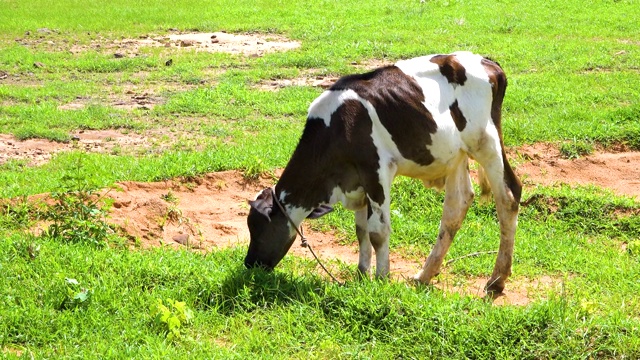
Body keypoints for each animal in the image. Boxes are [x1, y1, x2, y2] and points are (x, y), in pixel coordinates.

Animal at [244, 51, 520, 292]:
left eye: (257, 229)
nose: (249, 264)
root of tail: (487, 62)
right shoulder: (356, 181)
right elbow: (361, 230)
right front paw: (361, 273)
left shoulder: (376, 170)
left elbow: (378, 231)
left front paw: (381, 278)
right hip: (456, 155)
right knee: (457, 205)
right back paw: (425, 275)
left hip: (486, 142)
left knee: (508, 196)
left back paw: (497, 280)